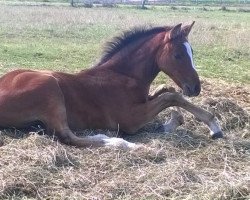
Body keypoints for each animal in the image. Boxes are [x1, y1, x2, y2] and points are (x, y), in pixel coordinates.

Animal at [0, 22, 223, 150]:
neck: (123, 75)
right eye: (177, 55)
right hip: (50, 86)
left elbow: (167, 91)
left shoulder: (144, 101)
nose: (195, 88)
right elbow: (172, 96)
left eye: (192, 52)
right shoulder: (130, 120)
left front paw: (170, 122)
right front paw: (214, 126)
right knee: (67, 136)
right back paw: (119, 142)